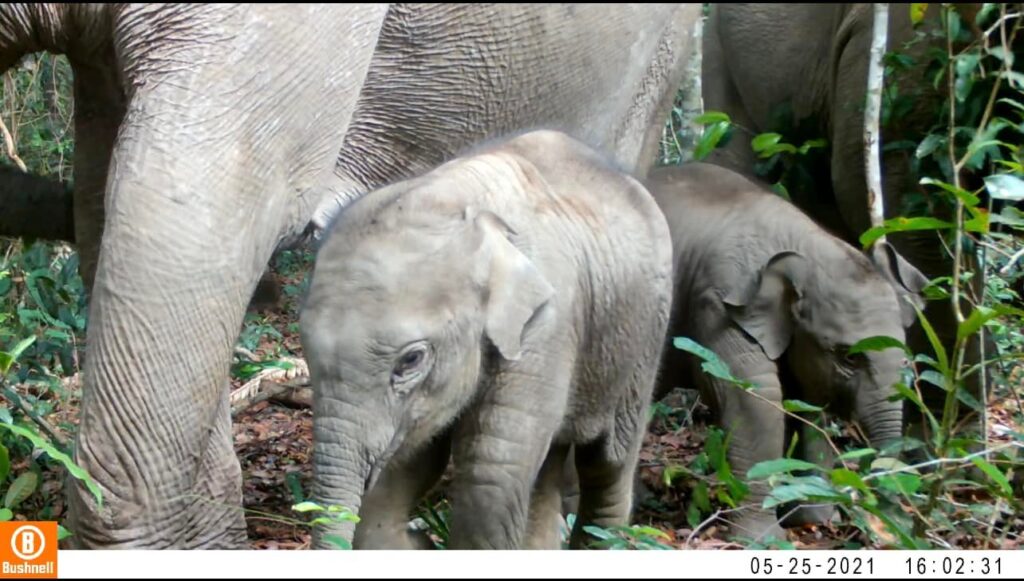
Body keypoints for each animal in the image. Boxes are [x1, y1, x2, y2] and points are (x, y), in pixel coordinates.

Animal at [300, 129, 674, 550]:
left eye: (411, 360)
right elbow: (409, 466)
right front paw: (417, 540)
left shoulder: (546, 326)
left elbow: (490, 475)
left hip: (645, 338)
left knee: (607, 463)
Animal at [645, 163, 927, 541]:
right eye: (849, 357)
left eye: (906, 360)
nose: (887, 530)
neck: (803, 245)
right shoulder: (720, 307)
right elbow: (755, 401)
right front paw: (762, 539)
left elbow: (806, 405)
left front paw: (813, 517)